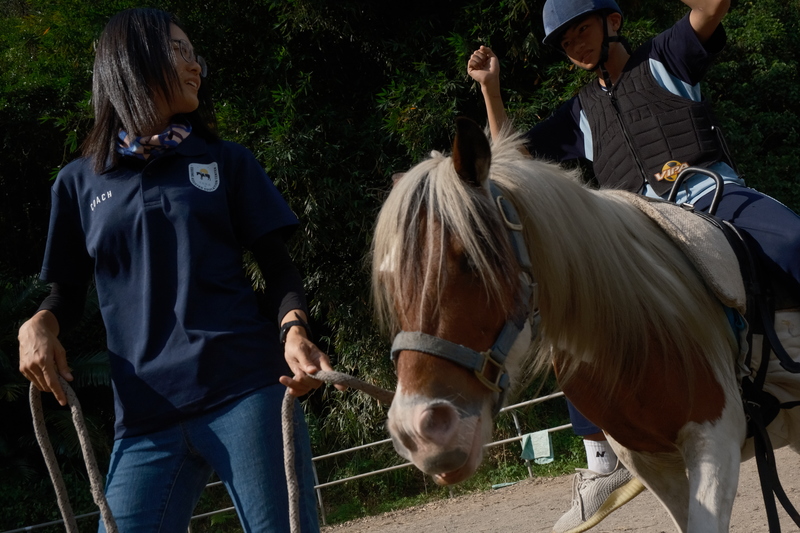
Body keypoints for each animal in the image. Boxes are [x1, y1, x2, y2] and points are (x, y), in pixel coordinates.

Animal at [372, 117, 800, 532]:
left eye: (471, 261)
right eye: (389, 277)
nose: (420, 430)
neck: (641, 326)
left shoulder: (715, 439)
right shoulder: (650, 461)